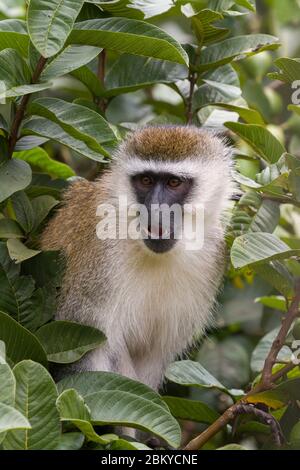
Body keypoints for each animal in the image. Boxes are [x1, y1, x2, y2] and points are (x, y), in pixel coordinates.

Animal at [41, 125, 234, 390]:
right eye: (146, 180)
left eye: (174, 182)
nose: (155, 208)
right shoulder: (99, 261)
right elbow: (86, 358)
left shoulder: (213, 254)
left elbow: (152, 358)